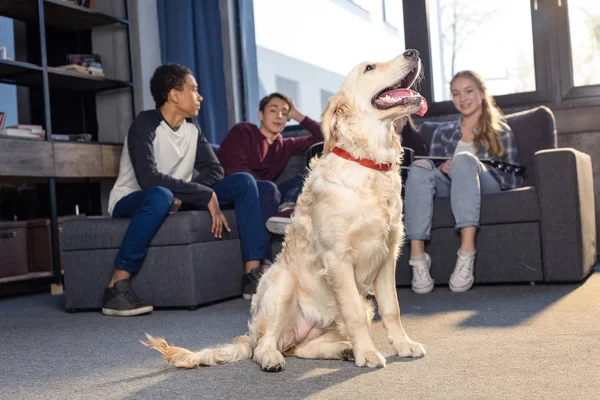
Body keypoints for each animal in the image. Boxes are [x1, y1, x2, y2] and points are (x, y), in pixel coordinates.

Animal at [143, 49, 428, 372]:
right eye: (369, 68)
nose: (413, 52)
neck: (365, 161)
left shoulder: (387, 255)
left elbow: (392, 308)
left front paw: (403, 345)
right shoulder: (338, 259)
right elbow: (354, 313)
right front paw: (367, 353)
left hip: (340, 316)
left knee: (302, 348)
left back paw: (343, 349)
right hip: (282, 282)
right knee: (265, 345)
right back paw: (273, 357)